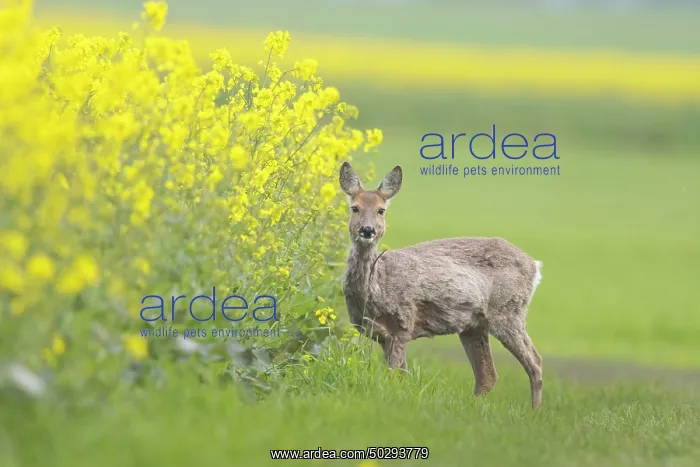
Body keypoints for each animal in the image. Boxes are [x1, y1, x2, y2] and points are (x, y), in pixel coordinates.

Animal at [338, 162, 544, 409]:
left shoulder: (403, 323)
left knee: (535, 362)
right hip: (475, 325)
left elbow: (392, 375)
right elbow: (401, 377)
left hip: (508, 310)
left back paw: (535, 411)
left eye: (381, 210)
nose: (367, 230)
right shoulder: (383, 335)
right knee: (488, 375)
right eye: (355, 208)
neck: (379, 286)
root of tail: (534, 266)